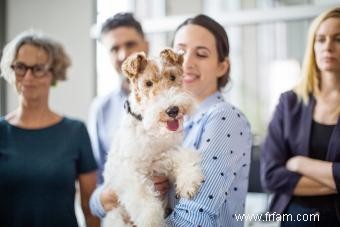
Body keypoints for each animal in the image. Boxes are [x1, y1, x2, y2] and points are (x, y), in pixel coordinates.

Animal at [102, 48, 203, 227]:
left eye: (172, 77)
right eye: (148, 83)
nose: (172, 110)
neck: (149, 127)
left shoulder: (165, 156)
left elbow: (183, 157)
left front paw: (188, 182)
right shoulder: (129, 172)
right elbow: (143, 198)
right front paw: (152, 221)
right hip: (115, 217)